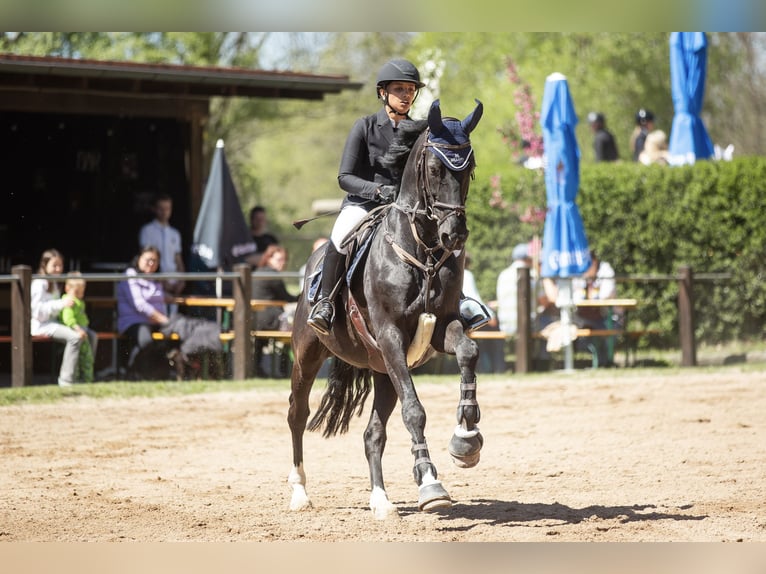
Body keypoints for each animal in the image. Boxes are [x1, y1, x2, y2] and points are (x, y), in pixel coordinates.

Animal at [287, 99, 484, 520]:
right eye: (433, 168)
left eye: (470, 168)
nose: (455, 235)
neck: (423, 252)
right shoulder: (391, 335)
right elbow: (415, 411)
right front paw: (431, 484)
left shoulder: (441, 328)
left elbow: (468, 352)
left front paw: (466, 438)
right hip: (308, 354)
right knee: (297, 414)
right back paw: (299, 492)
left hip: (382, 369)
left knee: (372, 433)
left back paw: (381, 500)